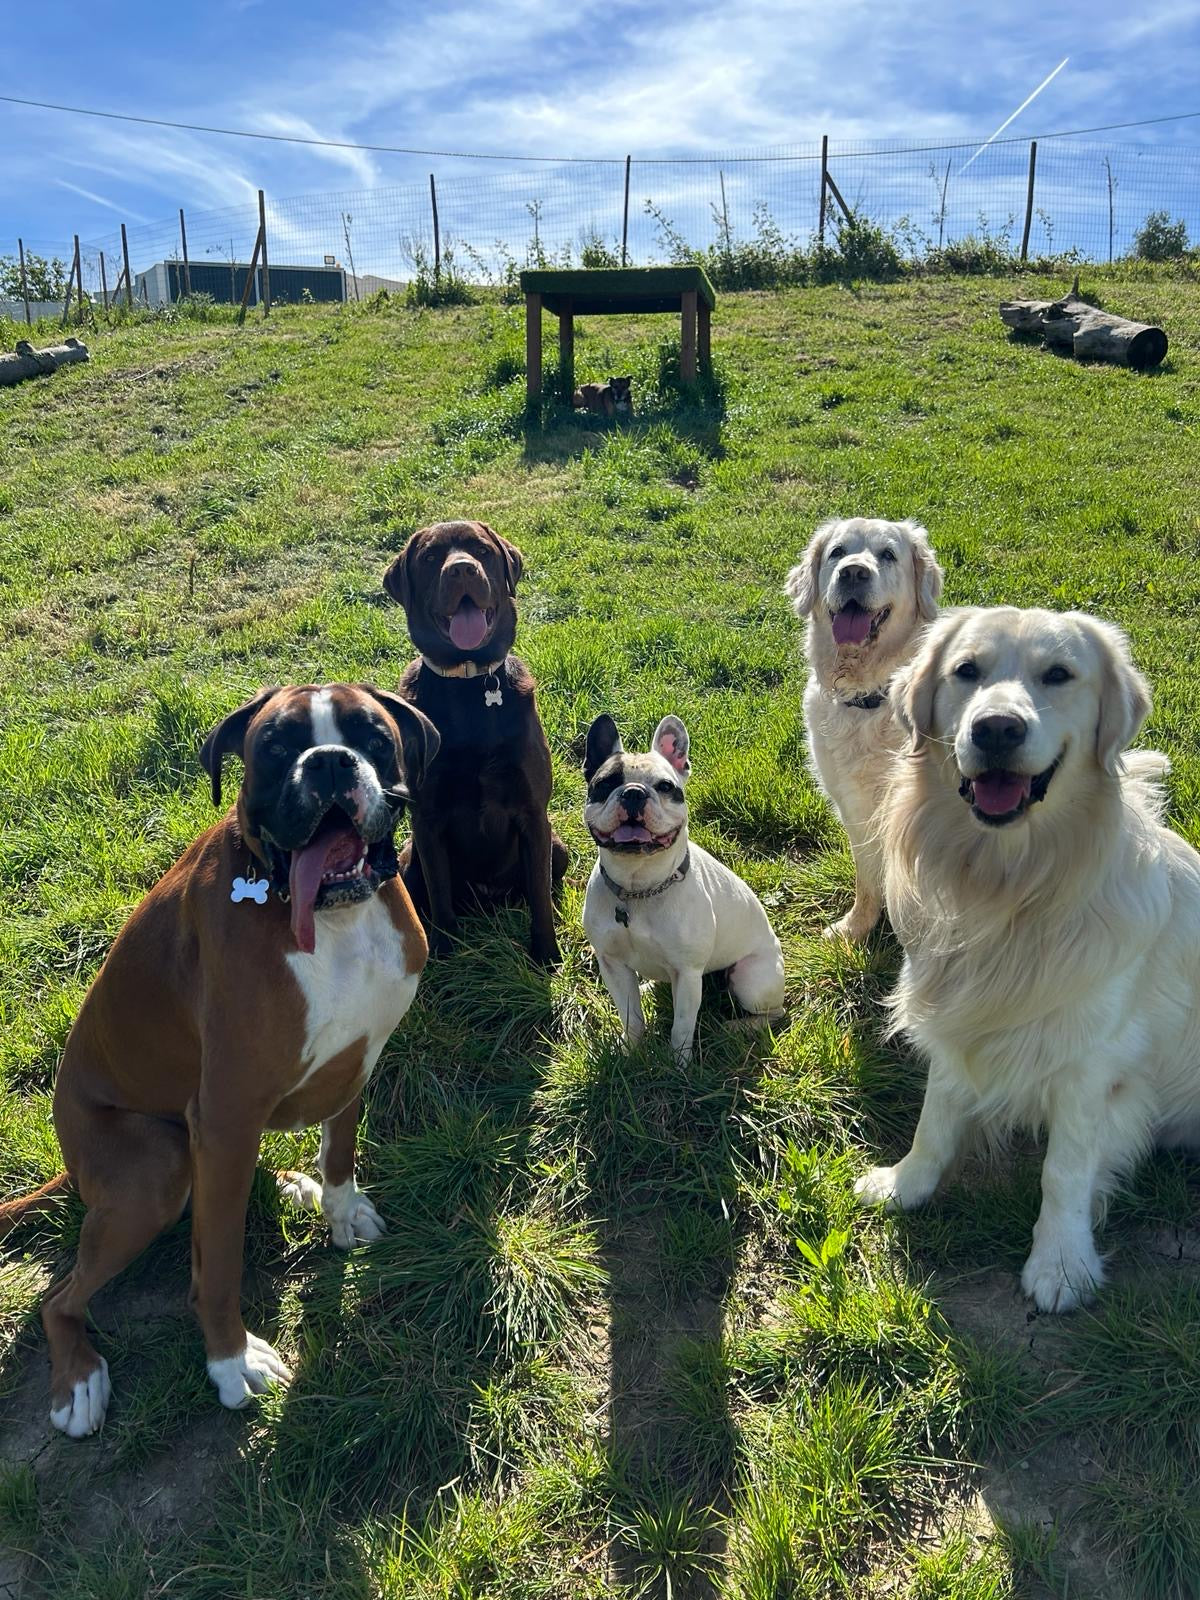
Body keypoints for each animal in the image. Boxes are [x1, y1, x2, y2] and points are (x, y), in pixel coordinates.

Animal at [0, 681, 438, 1433]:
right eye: (276, 747)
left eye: (373, 738)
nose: (329, 762)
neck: (333, 916)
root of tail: (71, 1167)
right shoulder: (227, 1114)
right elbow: (221, 1266)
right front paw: (232, 1362)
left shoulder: (354, 1061)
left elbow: (342, 1150)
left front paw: (339, 1209)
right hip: (155, 1167)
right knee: (61, 1299)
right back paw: (78, 1380)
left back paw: (295, 1184)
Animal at [387, 521, 569, 960]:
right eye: (431, 557)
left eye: (482, 551)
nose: (462, 570)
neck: (469, 684)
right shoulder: (427, 820)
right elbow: (439, 893)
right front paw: (444, 952)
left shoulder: (533, 813)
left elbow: (539, 894)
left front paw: (546, 954)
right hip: (407, 857)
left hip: (558, 846)